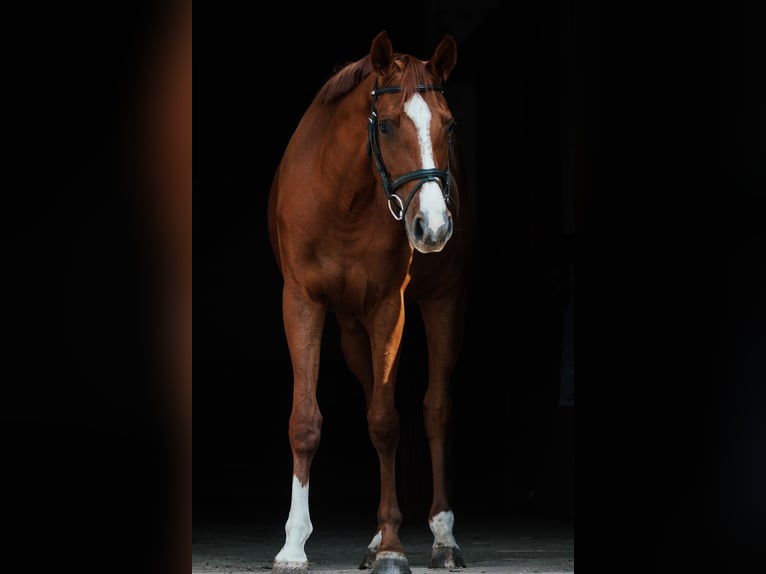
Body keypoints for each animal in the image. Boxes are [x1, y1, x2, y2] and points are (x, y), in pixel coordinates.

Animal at [267, 30, 474, 574]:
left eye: (448, 125)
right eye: (385, 124)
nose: (433, 227)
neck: (344, 199)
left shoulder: (389, 306)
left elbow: (386, 423)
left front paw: (394, 546)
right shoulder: (302, 302)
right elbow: (306, 421)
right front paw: (293, 545)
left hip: (443, 302)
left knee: (434, 410)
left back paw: (442, 538)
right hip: (353, 331)